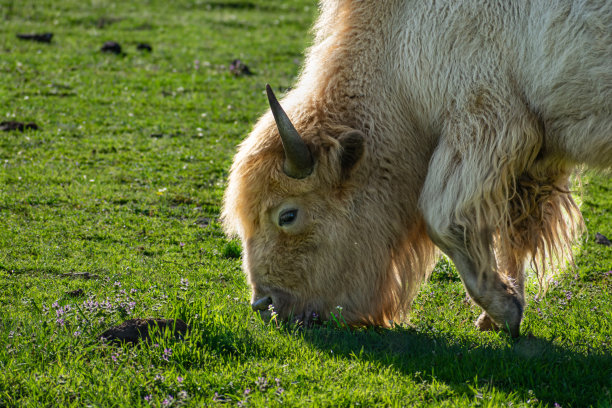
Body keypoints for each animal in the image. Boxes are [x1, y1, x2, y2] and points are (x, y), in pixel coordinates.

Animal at [222, 0, 608, 336]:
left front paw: (505, 311)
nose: (264, 304)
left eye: (287, 215)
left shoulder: (485, 123)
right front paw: (497, 312)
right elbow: (511, 234)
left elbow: (445, 222)